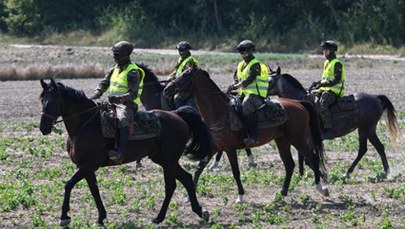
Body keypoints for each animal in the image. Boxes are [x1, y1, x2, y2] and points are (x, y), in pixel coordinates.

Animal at [39, 78, 213, 225]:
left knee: (171, 186)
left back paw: (158, 218)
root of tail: (176, 114)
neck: (85, 125)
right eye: (42, 100)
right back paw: (200, 212)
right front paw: (101, 217)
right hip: (163, 159)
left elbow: (68, 185)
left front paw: (64, 217)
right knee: (187, 179)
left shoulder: (87, 166)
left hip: (168, 160)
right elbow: (94, 190)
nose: (43, 128)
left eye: (54, 101)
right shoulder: (86, 168)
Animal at [162, 66, 328, 202]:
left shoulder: (229, 149)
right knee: (290, 164)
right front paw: (189, 197)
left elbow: (236, 172)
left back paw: (322, 188)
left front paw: (240, 196)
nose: (166, 89)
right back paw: (282, 193)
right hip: (282, 140)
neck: (221, 113)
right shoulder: (215, 147)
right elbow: (198, 169)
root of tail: (299, 103)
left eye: (186, 75)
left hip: (297, 139)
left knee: (312, 158)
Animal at [266, 67, 396, 178]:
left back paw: (347, 173)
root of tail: (376, 97)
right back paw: (386, 172)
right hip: (370, 130)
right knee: (379, 147)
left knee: (363, 150)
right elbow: (301, 156)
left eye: (270, 81)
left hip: (364, 129)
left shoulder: (310, 137)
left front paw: (322, 175)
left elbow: (308, 158)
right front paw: (302, 175)